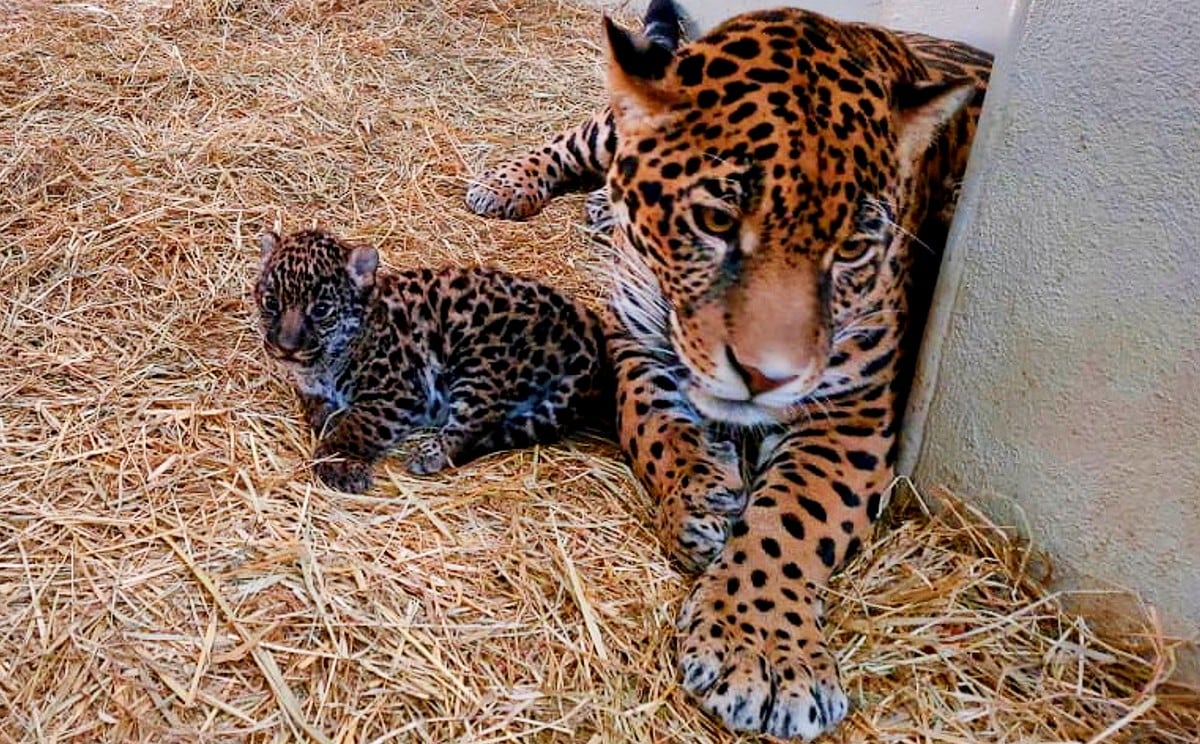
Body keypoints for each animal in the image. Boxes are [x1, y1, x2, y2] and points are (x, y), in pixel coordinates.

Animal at [254, 227, 607, 493]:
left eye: (321, 310)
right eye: (271, 302)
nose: (286, 347)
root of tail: (586, 333)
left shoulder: (398, 392)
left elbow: (358, 425)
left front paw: (339, 463)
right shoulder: (311, 388)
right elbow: (317, 409)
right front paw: (329, 419)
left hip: (481, 359)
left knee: (476, 423)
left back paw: (430, 455)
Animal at [464, 0, 992, 739]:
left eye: (852, 249)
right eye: (715, 220)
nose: (769, 378)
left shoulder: (852, 411)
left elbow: (794, 518)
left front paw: (762, 650)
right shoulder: (632, 335)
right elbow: (660, 426)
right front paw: (704, 499)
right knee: (581, 137)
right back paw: (510, 185)